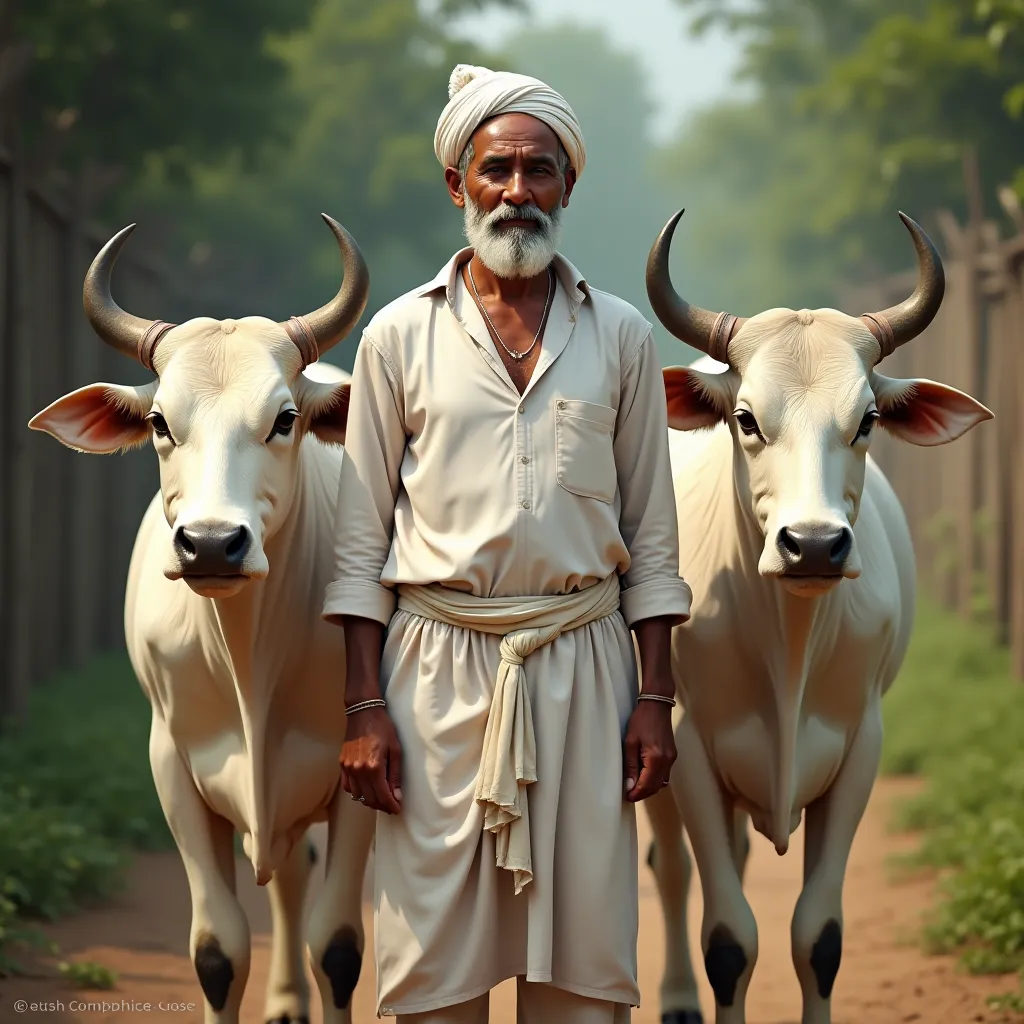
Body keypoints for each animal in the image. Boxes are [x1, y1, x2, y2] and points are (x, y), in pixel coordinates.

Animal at [29, 211, 378, 1019]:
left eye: (285, 418)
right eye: (160, 420)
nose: (213, 543)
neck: (251, 658)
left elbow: (338, 947)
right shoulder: (172, 764)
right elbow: (219, 953)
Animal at [638, 209, 991, 1024]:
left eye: (866, 420)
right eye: (744, 419)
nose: (815, 544)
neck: (788, 645)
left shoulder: (861, 749)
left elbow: (817, 938)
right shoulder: (686, 750)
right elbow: (729, 941)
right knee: (670, 869)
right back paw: (676, 999)